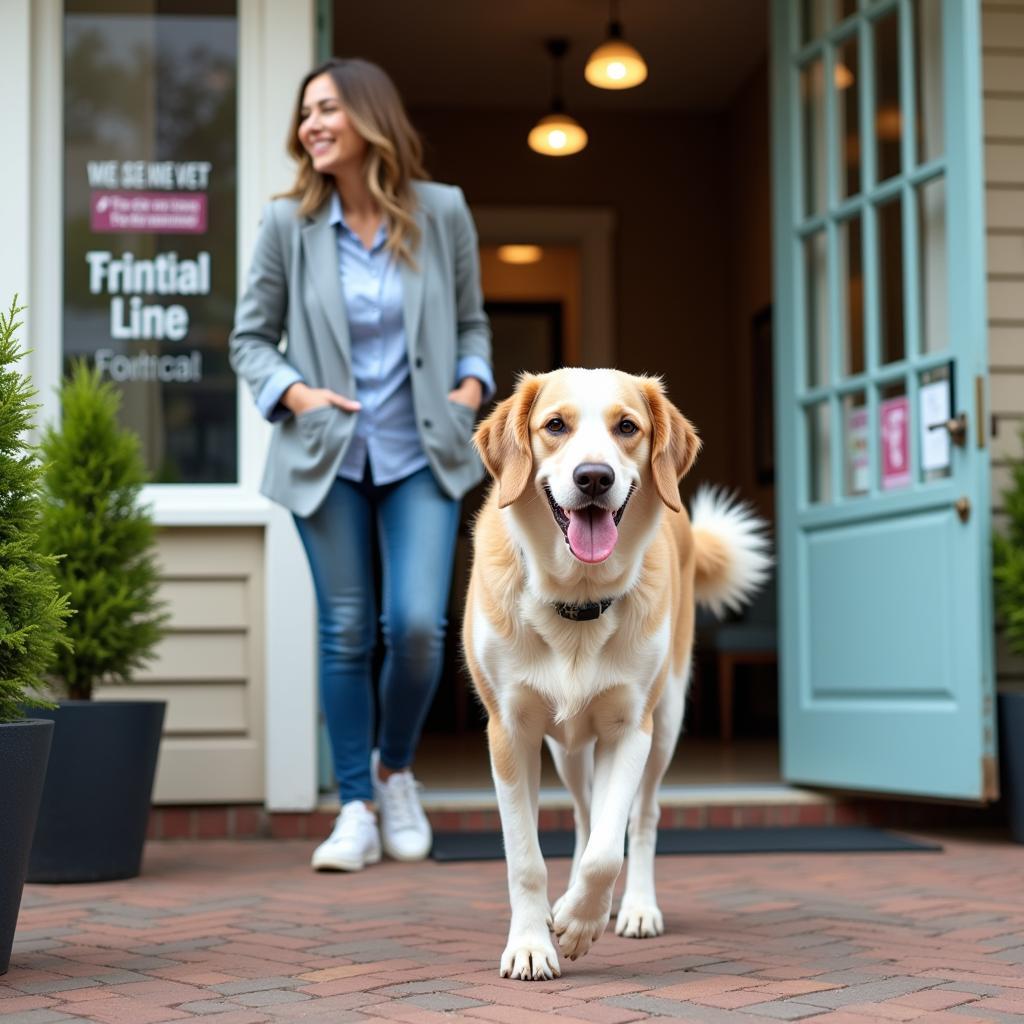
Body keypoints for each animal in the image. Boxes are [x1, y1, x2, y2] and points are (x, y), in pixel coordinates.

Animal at [464, 370, 770, 983]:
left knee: (641, 818)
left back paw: (633, 909)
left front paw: (581, 923)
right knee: (586, 814)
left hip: (666, 722)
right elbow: (527, 856)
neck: (576, 601)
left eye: (627, 427)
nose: (593, 477)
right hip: (567, 750)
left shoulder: (631, 730)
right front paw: (532, 942)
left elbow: (608, 850)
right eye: (555, 425)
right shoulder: (510, 734)